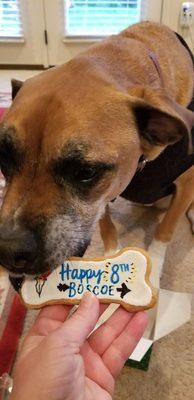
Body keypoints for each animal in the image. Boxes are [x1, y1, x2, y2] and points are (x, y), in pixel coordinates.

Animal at [0, 21, 194, 278]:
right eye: (4, 159)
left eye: (85, 172)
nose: (8, 251)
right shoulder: (103, 197)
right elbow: (104, 221)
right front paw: (112, 253)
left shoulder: (187, 182)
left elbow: (166, 229)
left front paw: (152, 267)